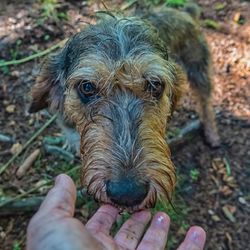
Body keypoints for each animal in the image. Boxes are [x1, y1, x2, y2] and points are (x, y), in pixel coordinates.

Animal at [29, 5, 221, 211]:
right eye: (87, 87)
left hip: (198, 69)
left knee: (205, 101)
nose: (128, 193)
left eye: (155, 84)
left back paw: (212, 133)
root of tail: (185, 12)